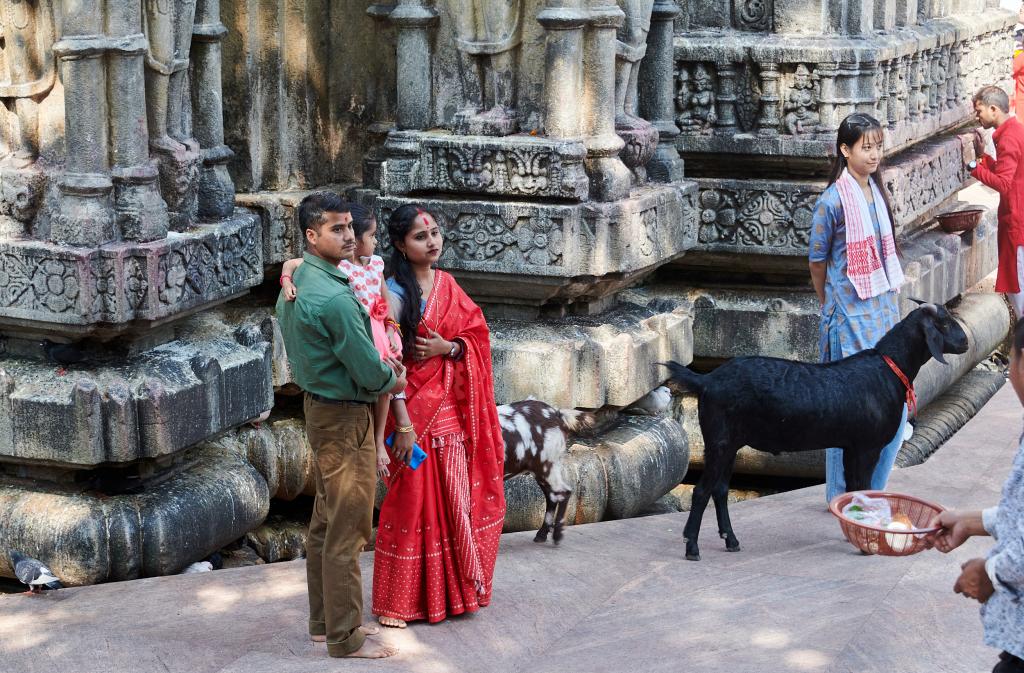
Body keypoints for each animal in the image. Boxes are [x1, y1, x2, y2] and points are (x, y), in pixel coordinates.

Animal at [497, 401, 593, 544]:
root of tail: (558, 414)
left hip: (545, 465)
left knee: (563, 491)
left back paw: (557, 535)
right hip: (542, 470)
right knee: (552, 496)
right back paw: (542, 534)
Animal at [663, 301, 966, 557]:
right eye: (944, 323)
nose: (965, 341)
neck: (888, 370)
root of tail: (706, 381)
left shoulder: (851, 446)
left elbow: (852, 491)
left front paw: (854, 532)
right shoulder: (868, 447)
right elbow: (863, 488)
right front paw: (866, 541)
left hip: (730, 443)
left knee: (720, 489)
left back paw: (731, 540)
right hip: (719, 441)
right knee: (702, 491)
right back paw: (692, 547)